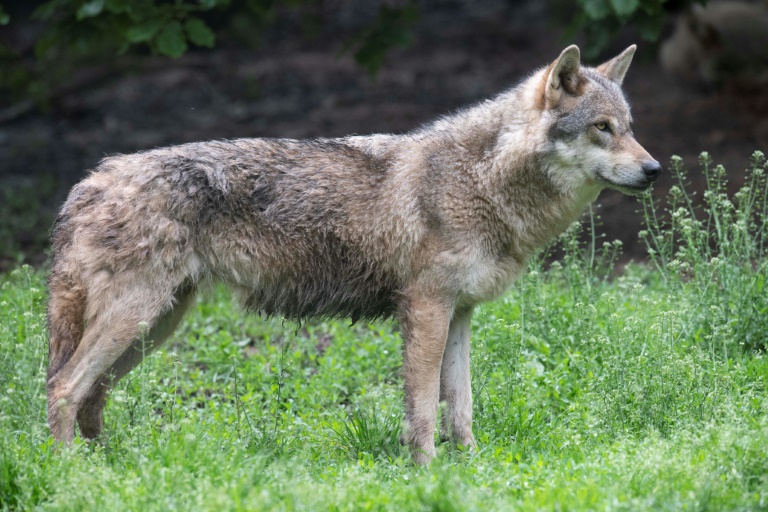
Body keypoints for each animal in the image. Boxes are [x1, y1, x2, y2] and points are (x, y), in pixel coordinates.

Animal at [47, 44, 660, 464]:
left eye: (630, 128)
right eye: (602, 128)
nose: (654, 169)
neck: (480, 181)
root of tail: (88, 182)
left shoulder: (461, 313)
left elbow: (461, 409)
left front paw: (474, 470)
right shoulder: (426, 310)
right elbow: (423, 410)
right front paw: (427, 473)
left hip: (154, 327)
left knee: (91, 397)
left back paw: (118, 471)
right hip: (137, 321)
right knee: (63, 389)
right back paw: (72, 473)